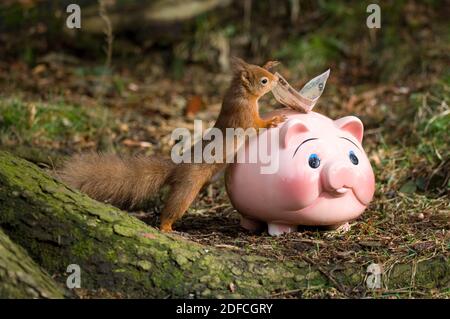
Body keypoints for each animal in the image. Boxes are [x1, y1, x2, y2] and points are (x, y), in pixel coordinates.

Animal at [59, 58, 284, 232]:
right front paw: (272, 121)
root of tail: (177, 167)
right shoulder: (243, 117)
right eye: (263, 81)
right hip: (188, 187)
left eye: (265, 72)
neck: (241, 94)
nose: (276, 80)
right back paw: (166, 227)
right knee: (172, 208)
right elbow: (255, 125)